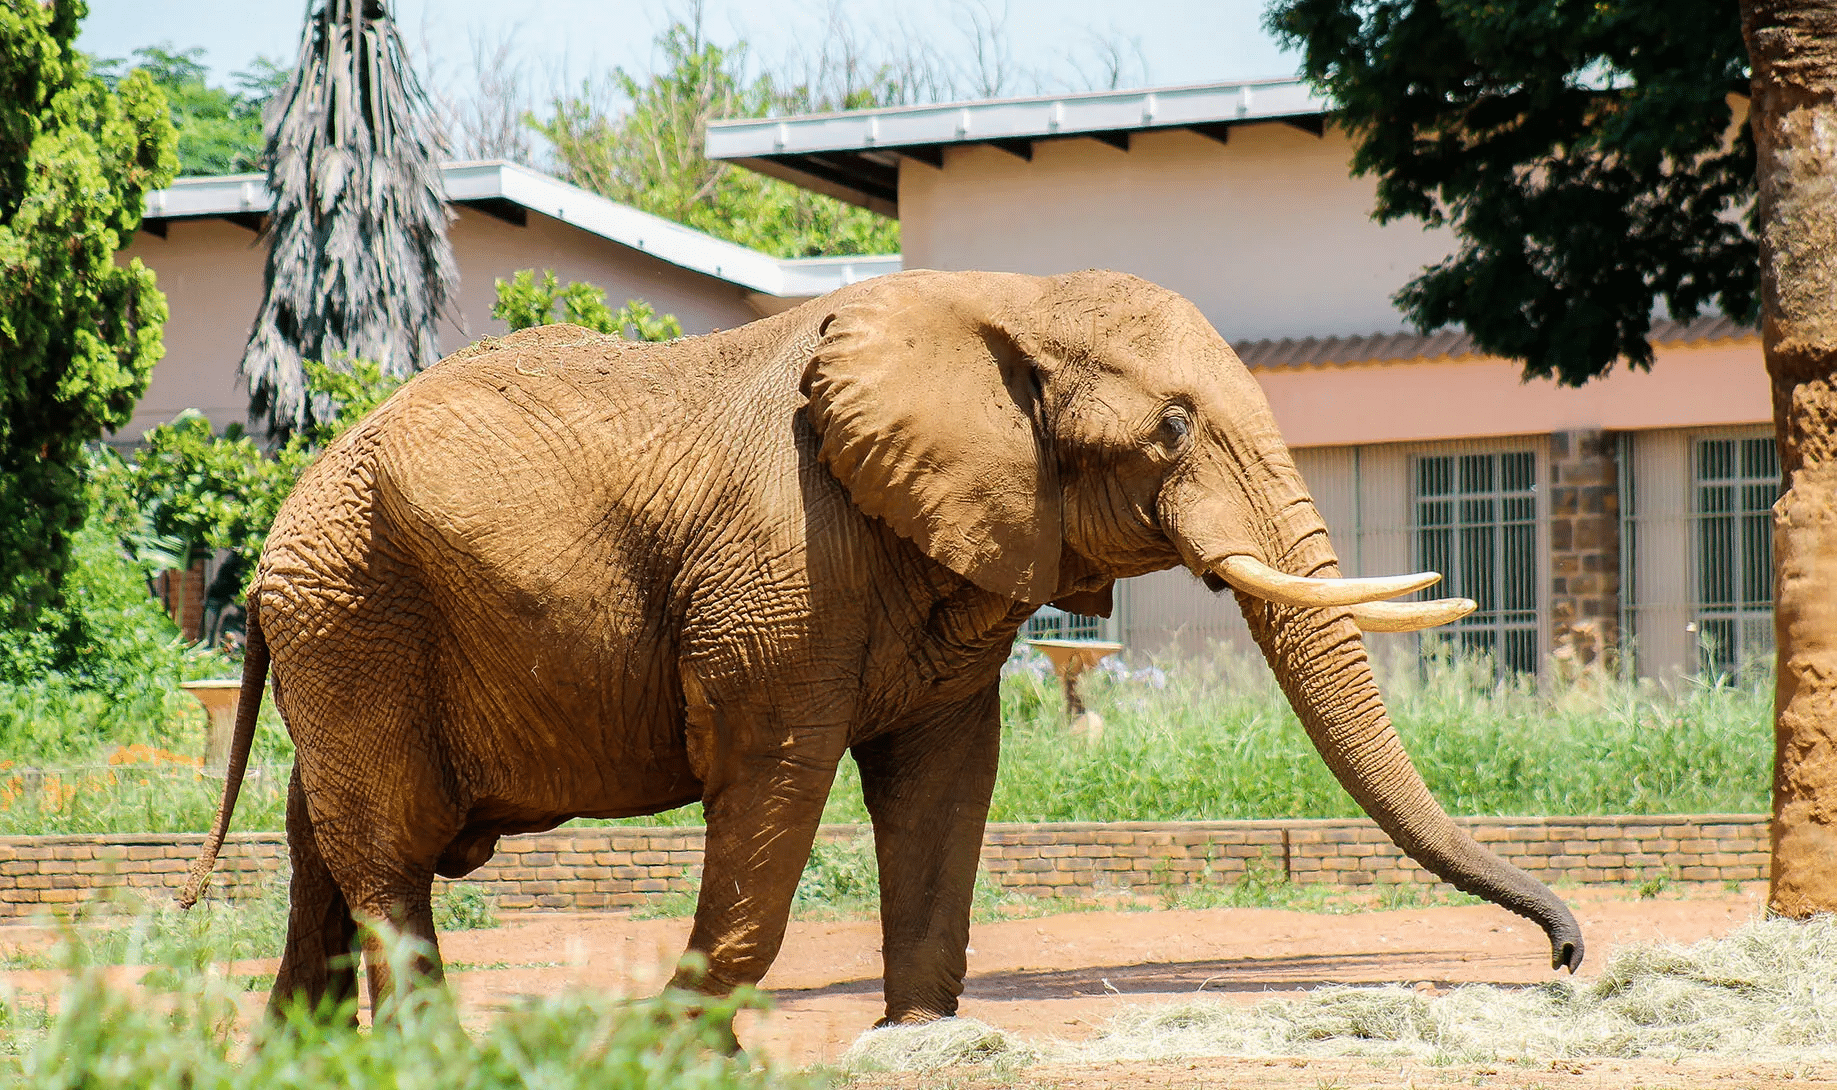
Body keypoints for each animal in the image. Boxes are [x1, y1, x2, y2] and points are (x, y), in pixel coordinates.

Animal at [181, 268, 1582, 1033]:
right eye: (1175, 428)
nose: (1567, 959)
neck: (1010, 301)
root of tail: (278, 522)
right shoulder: (781, 566)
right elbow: (779, 776)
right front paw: (685, 1046)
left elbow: (947, 782)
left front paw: (915, 1033)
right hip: (356, 614)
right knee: (391, 852)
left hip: (342, 625)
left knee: (324, 846)